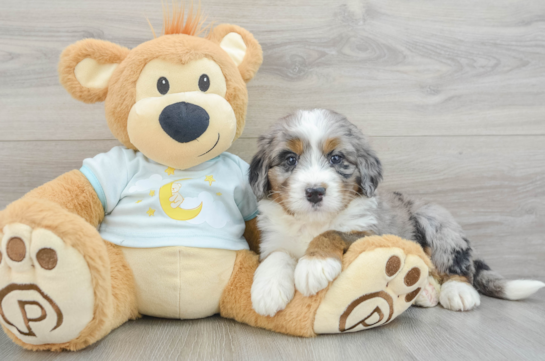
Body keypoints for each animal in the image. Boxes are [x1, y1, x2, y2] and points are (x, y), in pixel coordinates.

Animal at [249, 109, 540, 316]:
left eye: (336, 158)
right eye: (290, 159)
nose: (314, 192)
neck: (313, 222)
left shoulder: (370, 233)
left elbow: (334, 232)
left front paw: (313, 264)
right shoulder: (274, 238)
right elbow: (277, 255)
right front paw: (267, 291)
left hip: (434, 220)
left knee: (456, 266)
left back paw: (458, 292)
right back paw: (424, 293)